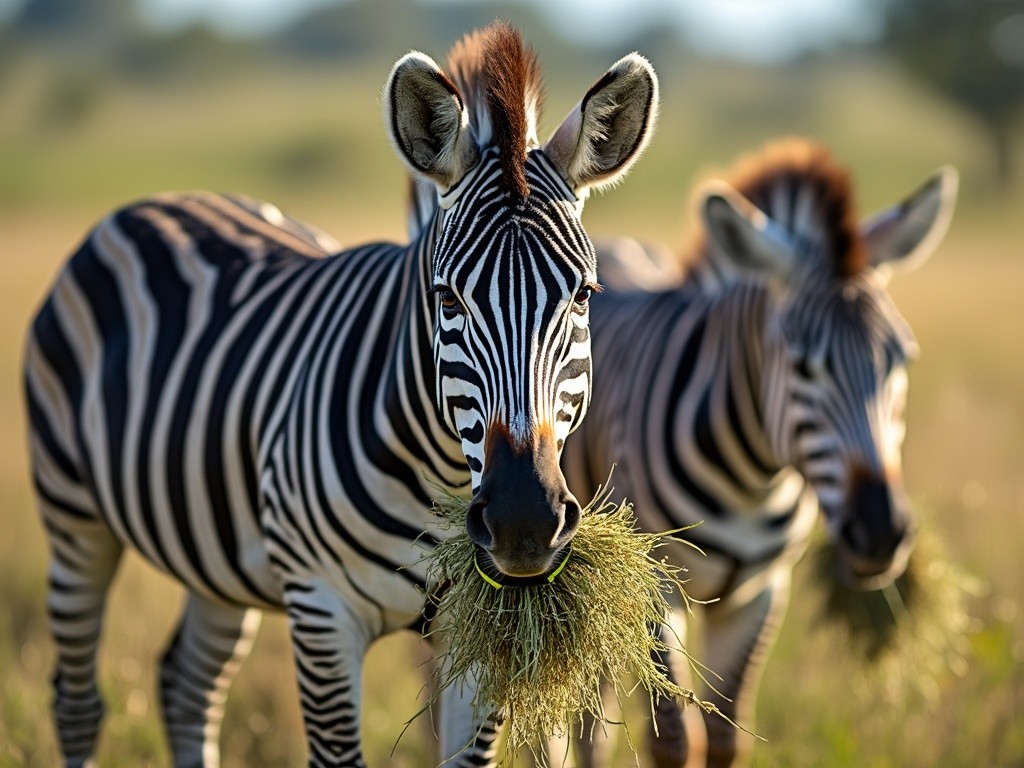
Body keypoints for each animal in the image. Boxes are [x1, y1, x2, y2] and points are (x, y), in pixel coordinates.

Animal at [25, 24, 663, 768]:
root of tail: (160, 199)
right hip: (72, 517)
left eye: (584, 295)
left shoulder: (478, 624)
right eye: (446, 298)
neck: (441, 477)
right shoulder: (322, 611)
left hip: (216, 559)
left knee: (187, 683)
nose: (524, 524)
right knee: (77, 701)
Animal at [557, 140, 954, 768]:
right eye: (802, 366)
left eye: (902, 359)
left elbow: (725, 736)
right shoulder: (655, 586)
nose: (880, 533)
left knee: (590, 717)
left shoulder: (760, 593)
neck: (752, 479)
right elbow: (673, 739)